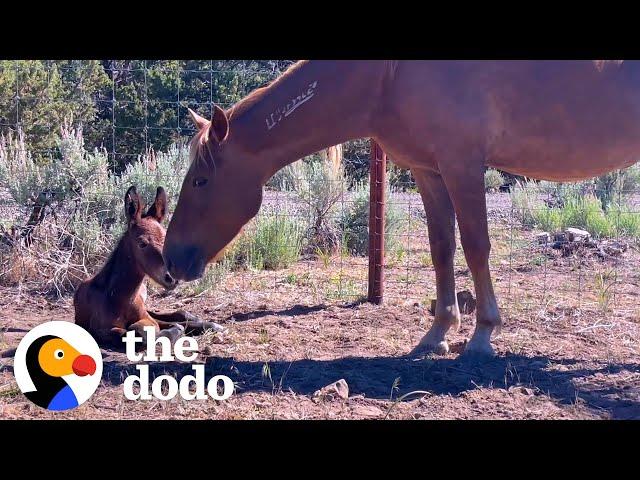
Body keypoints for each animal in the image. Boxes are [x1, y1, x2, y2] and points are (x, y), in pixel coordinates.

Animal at [74, 186, 224, 346]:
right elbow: (143, 332)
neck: (118, 298)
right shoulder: (102, 330)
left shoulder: (145, 316)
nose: (172, 278)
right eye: (142, 243)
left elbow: (163, 325)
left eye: (165, 239)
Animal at [164, 60, 640, 356]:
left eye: (200, 180)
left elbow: (476, 247)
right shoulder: (428, 171)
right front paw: (439, 333)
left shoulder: (462, 165)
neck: (387, 77)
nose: (170, 260)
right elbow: (441, 248)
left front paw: (483, 334)